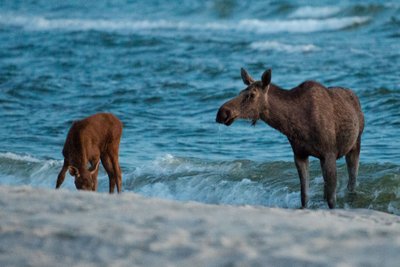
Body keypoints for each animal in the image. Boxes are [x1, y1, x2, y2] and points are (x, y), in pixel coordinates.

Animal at [217, 68, 364, 209]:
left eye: (252, 95)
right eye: (241, 92)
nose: (222, 112)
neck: (296, 124)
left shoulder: (329, 154)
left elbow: (331, 200)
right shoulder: (300, 155)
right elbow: (304, 196)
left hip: (356, 144)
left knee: (352, 183)